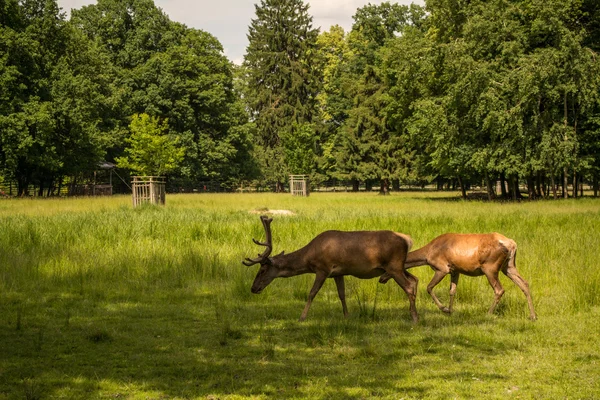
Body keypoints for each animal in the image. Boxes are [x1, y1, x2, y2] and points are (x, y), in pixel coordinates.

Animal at [241, 216, 420, 322]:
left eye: (262, 270)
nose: (253, 288)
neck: (309, 258)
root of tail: (408, 240)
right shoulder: (338, 273)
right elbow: (342, 294)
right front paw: (347, 316)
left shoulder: (323, 269)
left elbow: (312, 293)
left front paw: (302, 317)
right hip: (398, 266)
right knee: (414, 280)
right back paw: (413, 313)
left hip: (394, 266)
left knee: (408, 286)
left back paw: (414, 317)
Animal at [378, 233, 536, 320]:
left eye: (384, 269)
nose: (380, 279)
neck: (427, 255)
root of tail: (512, 244)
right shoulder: (455, 270)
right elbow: (452, 290)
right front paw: (450, 311)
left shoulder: (442, 268)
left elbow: (429, 287)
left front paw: (444, 309)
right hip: (508, 266)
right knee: (525, 283)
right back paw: (533, 315)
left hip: (490, 267)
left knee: (499, 289)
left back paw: (488, 313)